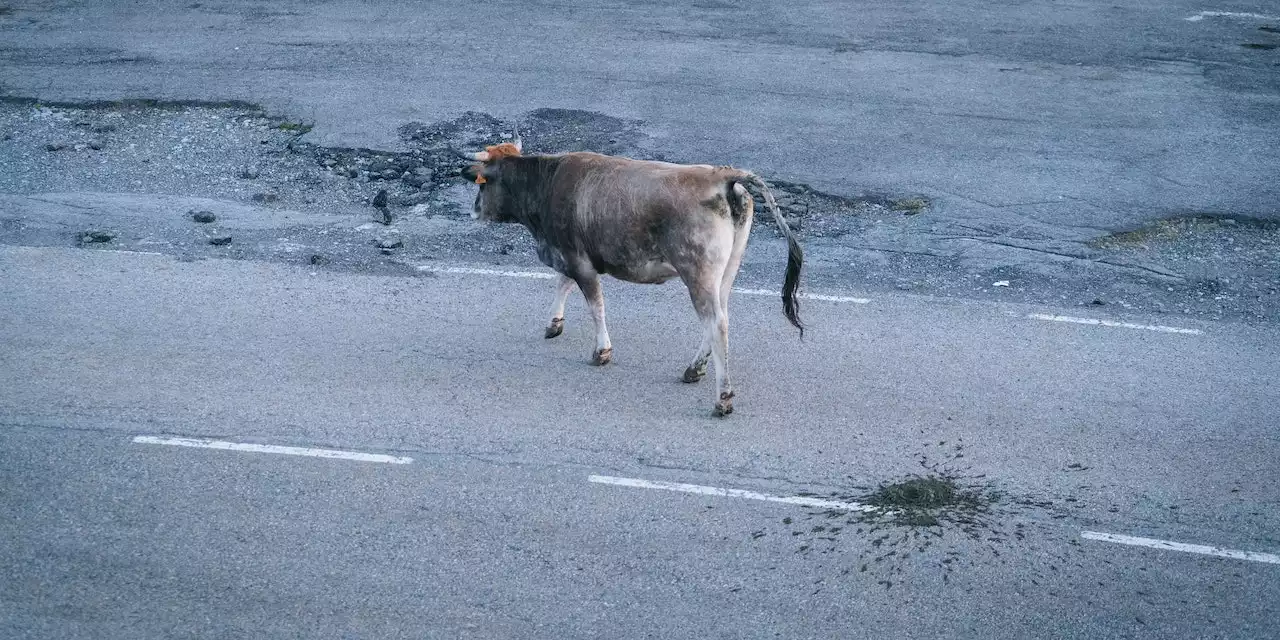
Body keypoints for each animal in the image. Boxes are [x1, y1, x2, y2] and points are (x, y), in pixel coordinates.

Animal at [455, 132, 803, 417]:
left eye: (483, 183)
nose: (472, 211)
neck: (547, 183)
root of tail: (720, 175)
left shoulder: (578, 259)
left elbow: (595, 304)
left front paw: (601, 351)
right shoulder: (570, 254)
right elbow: (563, 284)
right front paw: (554, 324)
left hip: (698, 273)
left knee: (716, 323)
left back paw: (723, 399)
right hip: (726, 270)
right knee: (720, 316)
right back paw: (693, 370)